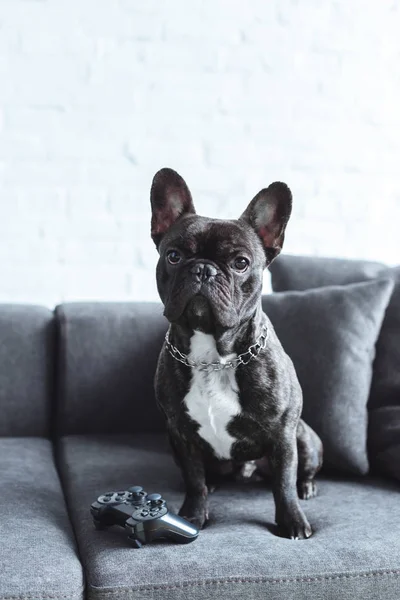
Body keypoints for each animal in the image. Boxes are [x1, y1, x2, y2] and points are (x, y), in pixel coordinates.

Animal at [150, 168, 322, 540]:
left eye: (240, 263)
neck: (212, 356)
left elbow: (283, 485)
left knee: (300, 473)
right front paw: (193, 515)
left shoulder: (283, 436)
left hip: (306, 439)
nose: (203, 269)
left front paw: (292, 522)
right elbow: (194, 480)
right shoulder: (181, 435)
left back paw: (308, 488)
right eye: (174, 256)